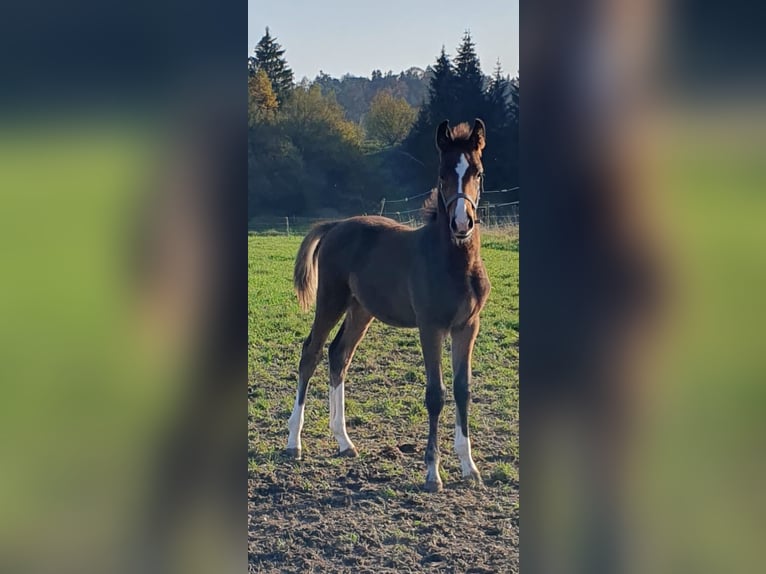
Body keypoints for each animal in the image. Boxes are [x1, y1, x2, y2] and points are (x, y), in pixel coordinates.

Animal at [286, 119, 492, 492]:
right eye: (442, 173)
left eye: (478, 172)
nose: (461, 224)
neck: (455, 264)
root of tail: (336, 226)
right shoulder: (430, 326)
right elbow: (436, 393)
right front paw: (432, 473)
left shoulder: (467, 326)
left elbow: (462, 389)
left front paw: (470, 468)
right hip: (331, 299)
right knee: (311, 352)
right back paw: (294, 443)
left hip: (361, 309)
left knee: (339, 354)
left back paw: (344, 442)